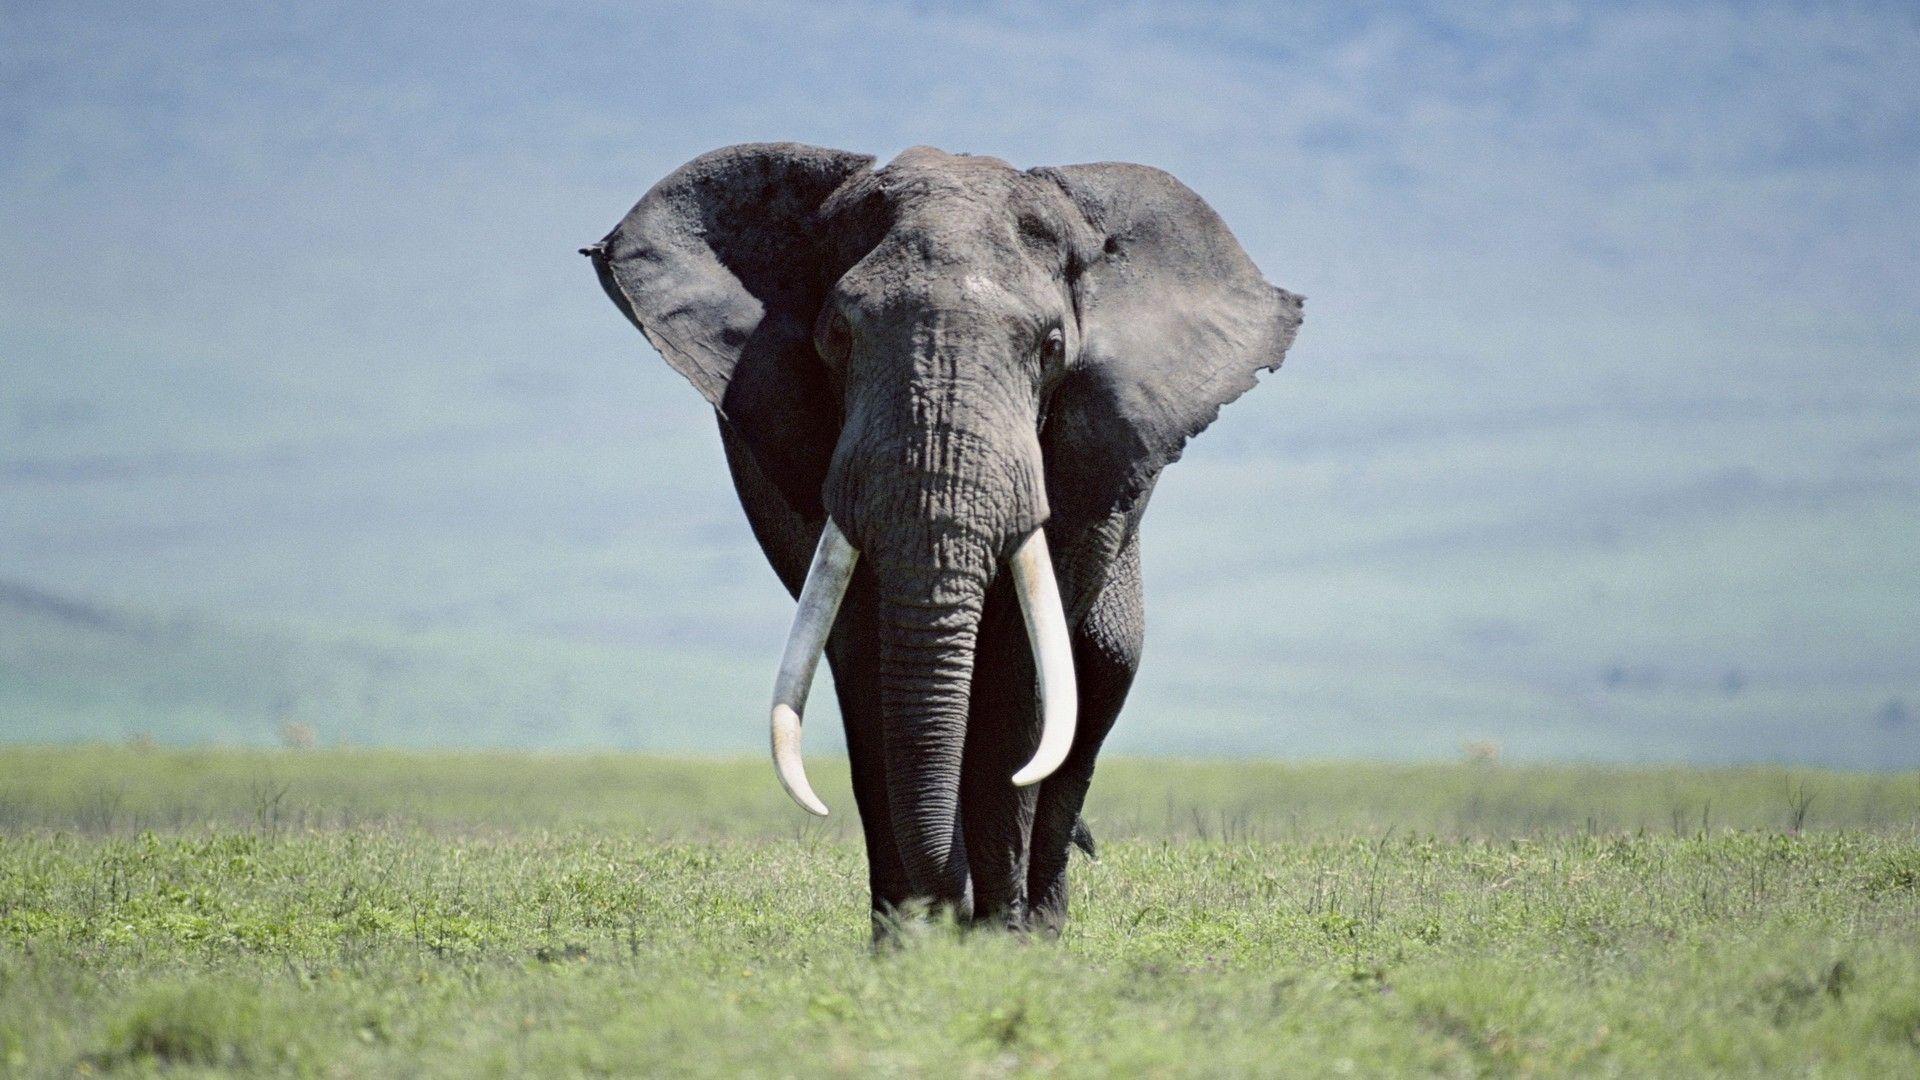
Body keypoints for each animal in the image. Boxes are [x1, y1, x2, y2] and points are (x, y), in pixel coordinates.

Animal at [584, 143, 1302, 935]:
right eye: (837, 338)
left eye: (1051, 347)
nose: (952, 911)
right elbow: (863, 654)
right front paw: (909, 940)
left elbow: (1021, 667)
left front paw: (998, 941)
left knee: (1104, 671)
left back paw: (1042, 925)